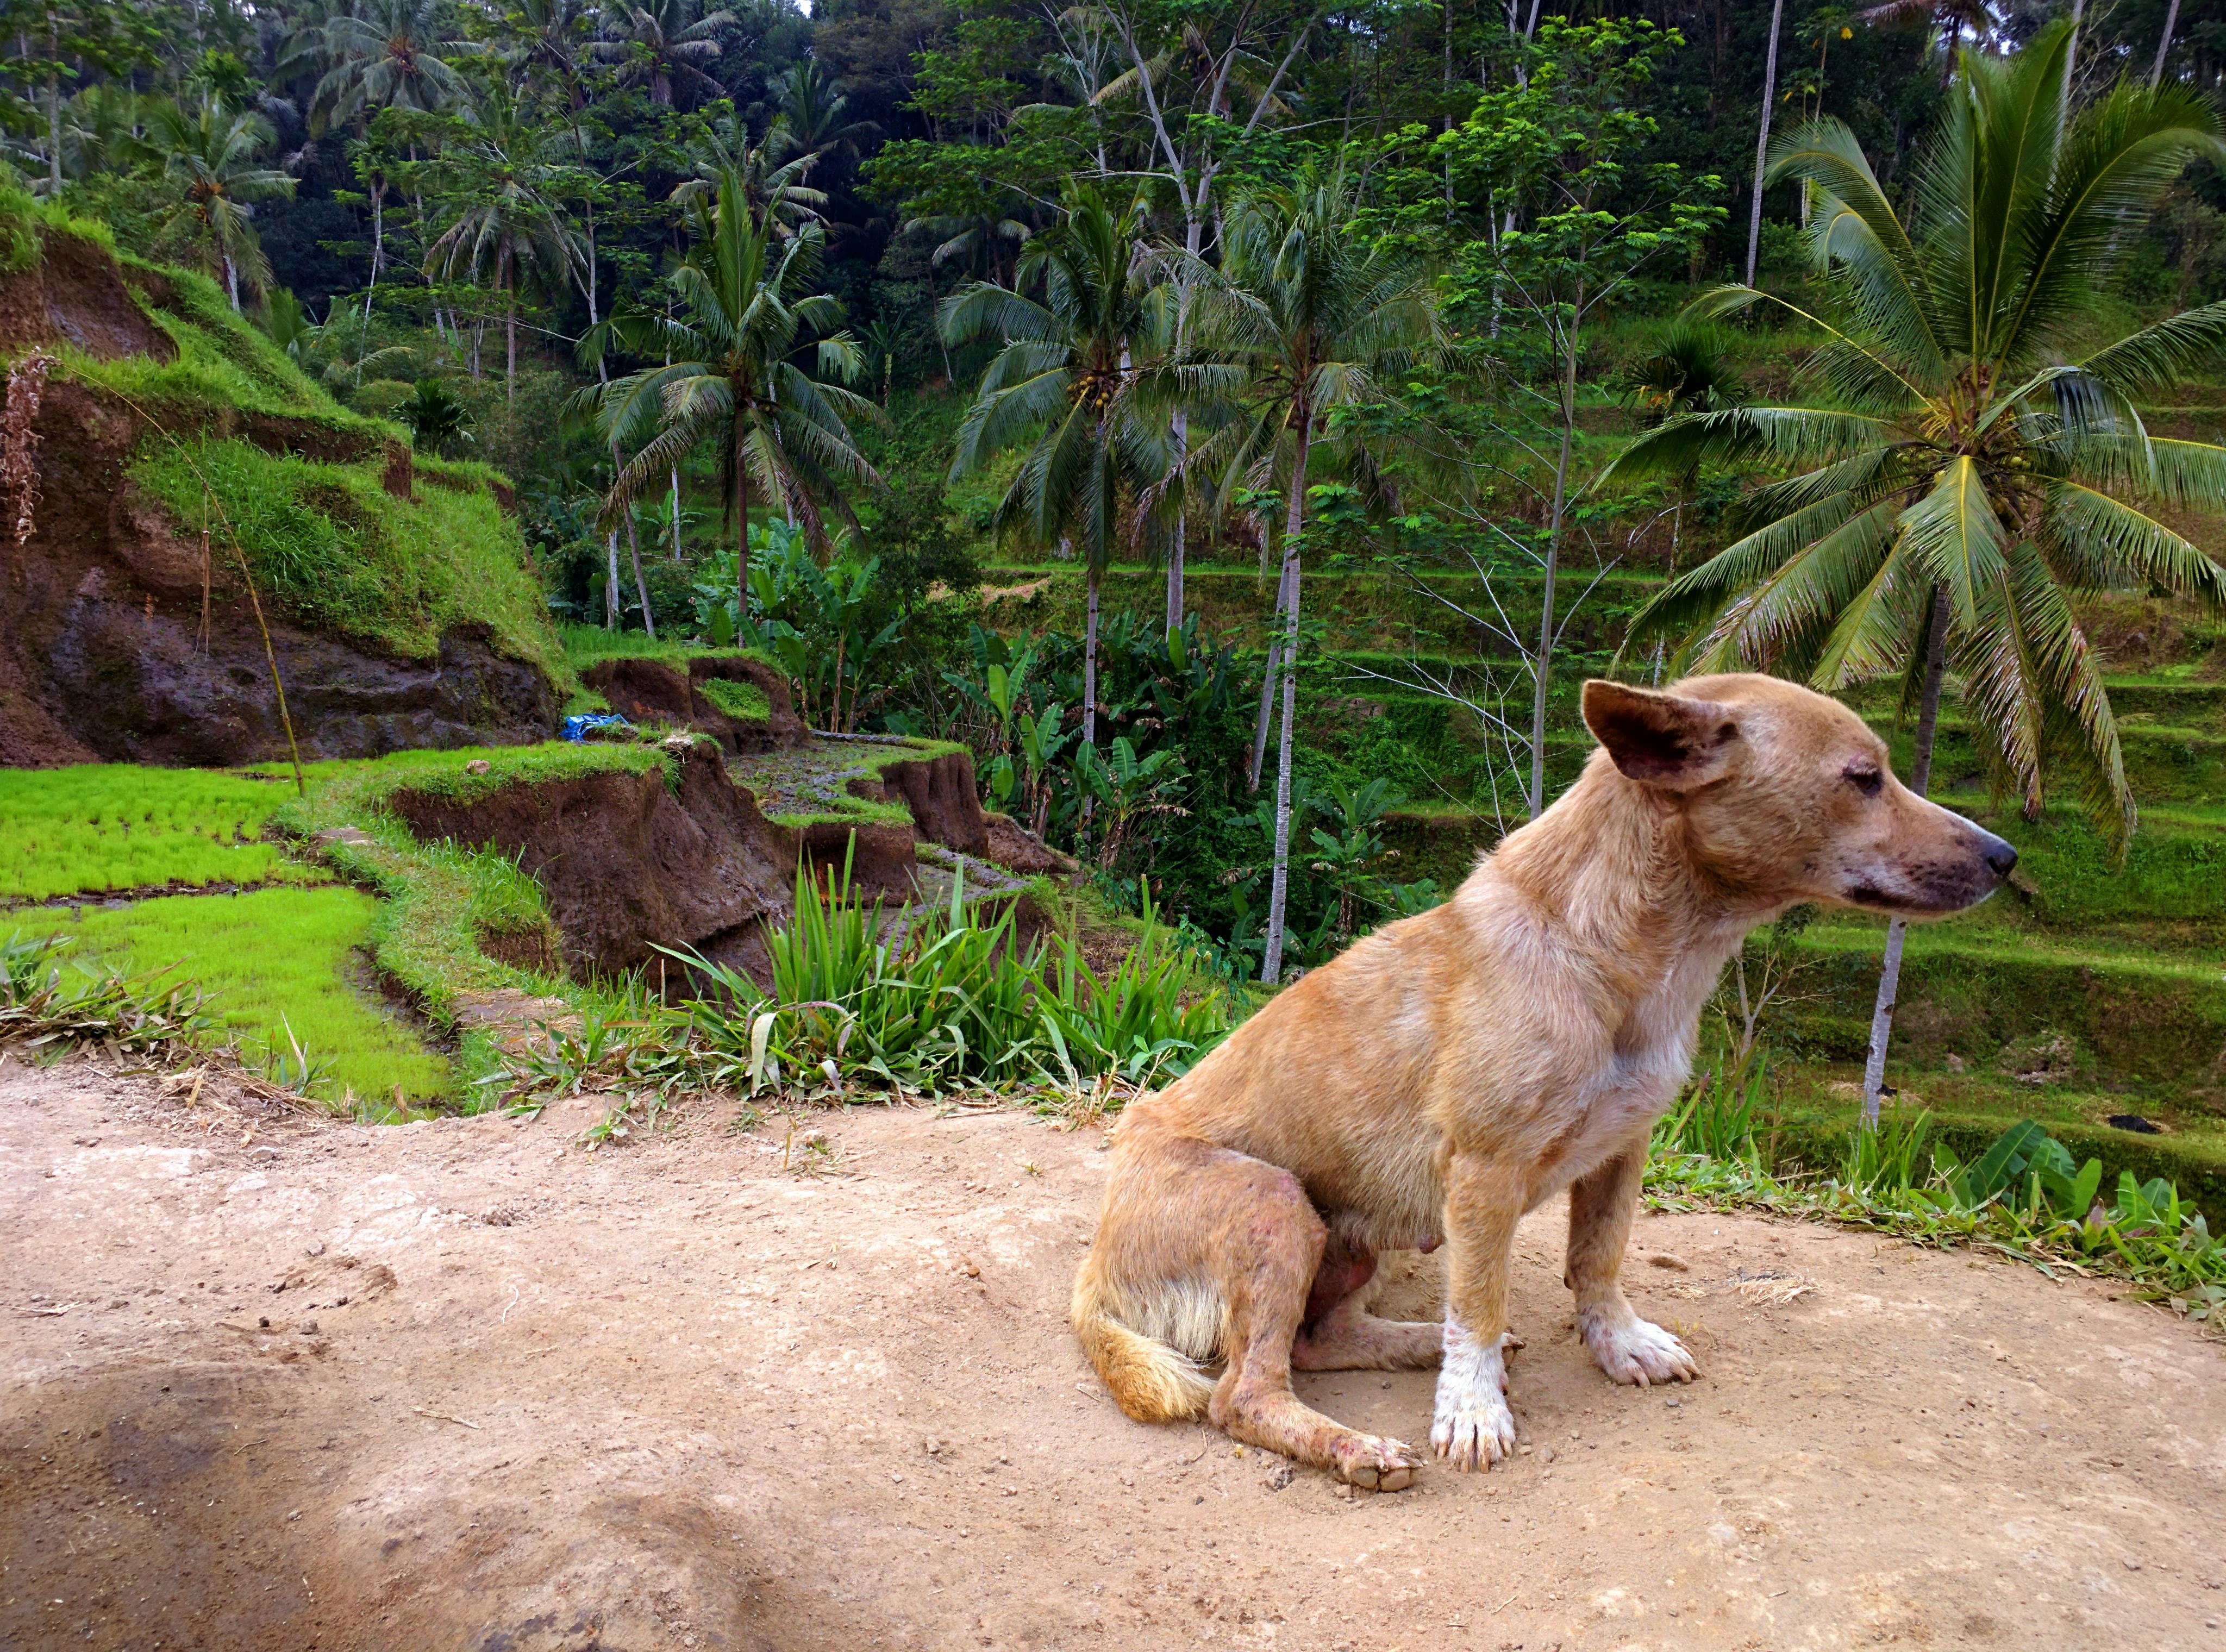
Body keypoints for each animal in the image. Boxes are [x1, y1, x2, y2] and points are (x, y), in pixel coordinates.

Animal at [1068, 672, 2012, 1487]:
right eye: (1864, 779)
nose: (2006, 857)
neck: (1610, 961)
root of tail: (1095, 1276)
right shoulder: (1483, 1176)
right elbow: (1480, 1303)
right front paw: (1472, 1409)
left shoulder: (1623, 1151)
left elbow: (1597, 1262)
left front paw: (1619, 1343)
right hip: (1275, 1205)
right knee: (1244, 1393)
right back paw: (1357, 1444)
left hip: (1356, 1236)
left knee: (1318, 1339)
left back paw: (1412, 1344)